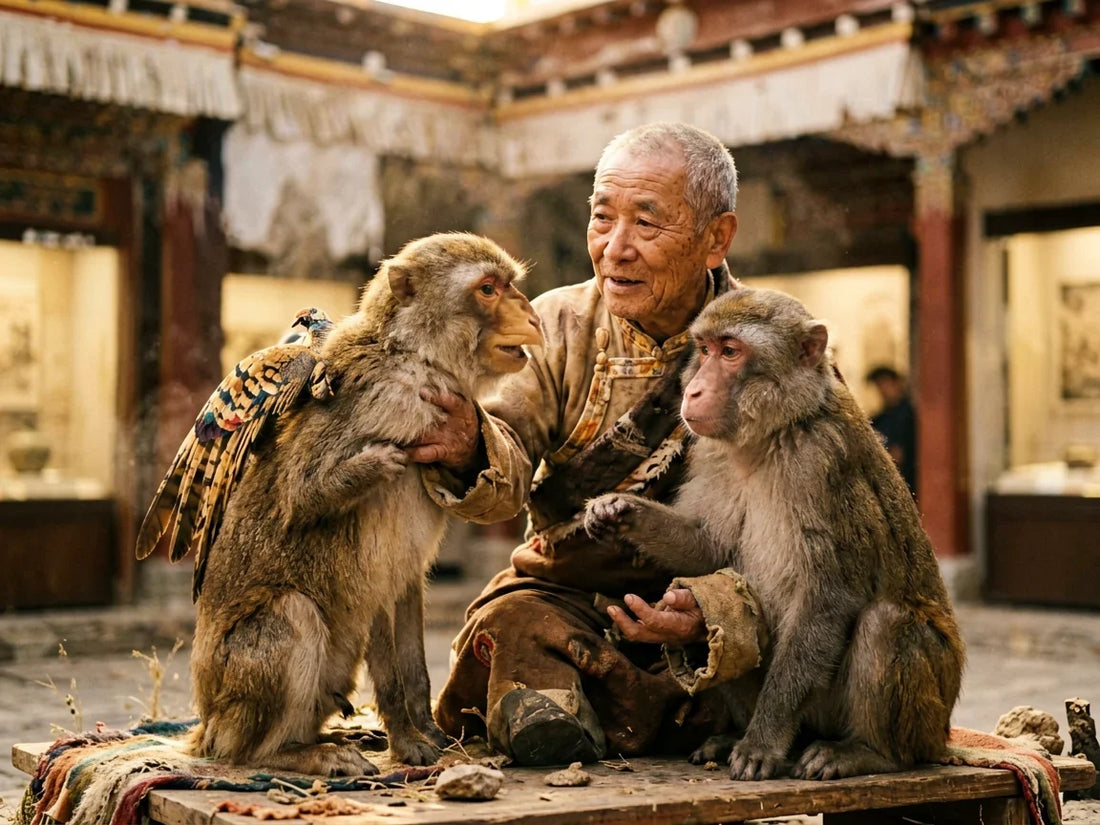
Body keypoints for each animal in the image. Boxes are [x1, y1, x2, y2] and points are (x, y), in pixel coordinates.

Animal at [150, 233, 542, 777]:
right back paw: (289, 753)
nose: (531, 314)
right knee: (291, 614)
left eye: (509, 286)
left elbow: (405, 589)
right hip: (233, 706)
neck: (417, 356)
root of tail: (206, 726)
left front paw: (424, 728)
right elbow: (304, 501)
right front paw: (406, 737)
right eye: (488, 288)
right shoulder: (384, 403)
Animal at [583, 287, 964, 782]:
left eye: (730, 352)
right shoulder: (713, 453)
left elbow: (829, 598)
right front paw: (617, 509)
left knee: (885, 622)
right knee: (737, 628)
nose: (693, 389)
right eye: (704, 349)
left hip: (926, 716)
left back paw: (869, 752)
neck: (774, 434)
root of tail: (943, 734)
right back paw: (734, 732)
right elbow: (708, 547)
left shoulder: (821, 462)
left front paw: (762, 743)